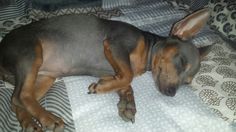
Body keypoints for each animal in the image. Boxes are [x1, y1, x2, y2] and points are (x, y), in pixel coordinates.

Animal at [0, 8, 211, 131]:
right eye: (181, 61)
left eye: (187, 82)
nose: (171, 93)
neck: (147, 53)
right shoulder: (116, 45)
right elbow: (128, 76)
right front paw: (102, 88)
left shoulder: (112, 68)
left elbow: (124, 81)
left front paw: (127, 102)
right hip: (31, 54)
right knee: (23, 95)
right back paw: (48, 118)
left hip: (44, 77)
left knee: (16, 100)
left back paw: (29, 123)